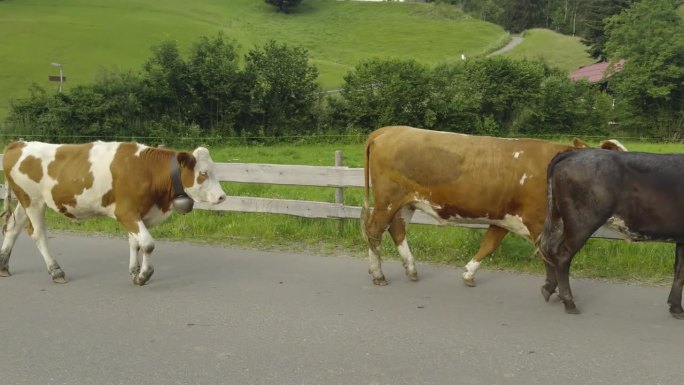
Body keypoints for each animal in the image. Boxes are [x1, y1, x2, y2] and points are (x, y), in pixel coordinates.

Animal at [0, 140, 230, 284]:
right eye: (203, 173)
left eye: (215, 171)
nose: (222, 197)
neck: (146, 169)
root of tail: (20, 143)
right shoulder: (125, 212)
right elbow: (147, 244)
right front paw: (143, 275)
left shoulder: (139, 213)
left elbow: (135, 243)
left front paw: (134, 271)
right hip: (33, 201)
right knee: (38, 234)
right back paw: (56, 271)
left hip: (25, 201)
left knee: (12, 227)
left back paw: (3, 266)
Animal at [360, 126, 628, 284]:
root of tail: (389, 129)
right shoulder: (536, 219)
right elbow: (548, 254)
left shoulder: (503, 216)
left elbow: (489, 245)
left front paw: (469, 273)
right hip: (387, 200)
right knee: (374, 230)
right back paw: (378, 273)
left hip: (406, 203)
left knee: (396, 230)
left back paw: (411, 269)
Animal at [540, 148, 684, 316]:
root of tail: (574, 153)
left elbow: (679, 270)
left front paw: (676, 307)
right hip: (581, 222)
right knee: (562, 255)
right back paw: (569, 302)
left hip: (559, 220)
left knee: (548, 247)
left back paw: (548, 288)